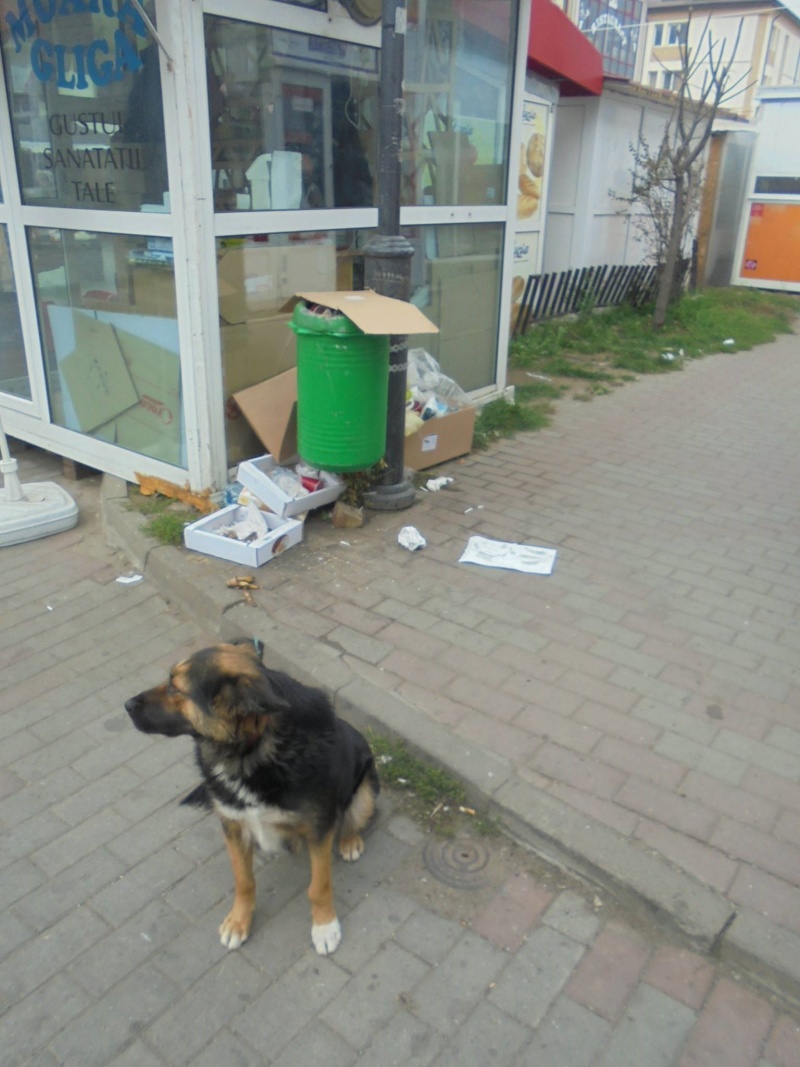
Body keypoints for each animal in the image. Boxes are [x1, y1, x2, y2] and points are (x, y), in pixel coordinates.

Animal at [124, 635, 379, 956]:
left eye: (174, 688)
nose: (126, 704)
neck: (250, 749)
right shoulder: (233, 824)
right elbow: (243, 881)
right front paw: (238, 921)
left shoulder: (319, 828)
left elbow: (319, 885)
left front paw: (324, 925)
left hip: (366, 788)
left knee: (353, 817)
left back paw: (349, 840)